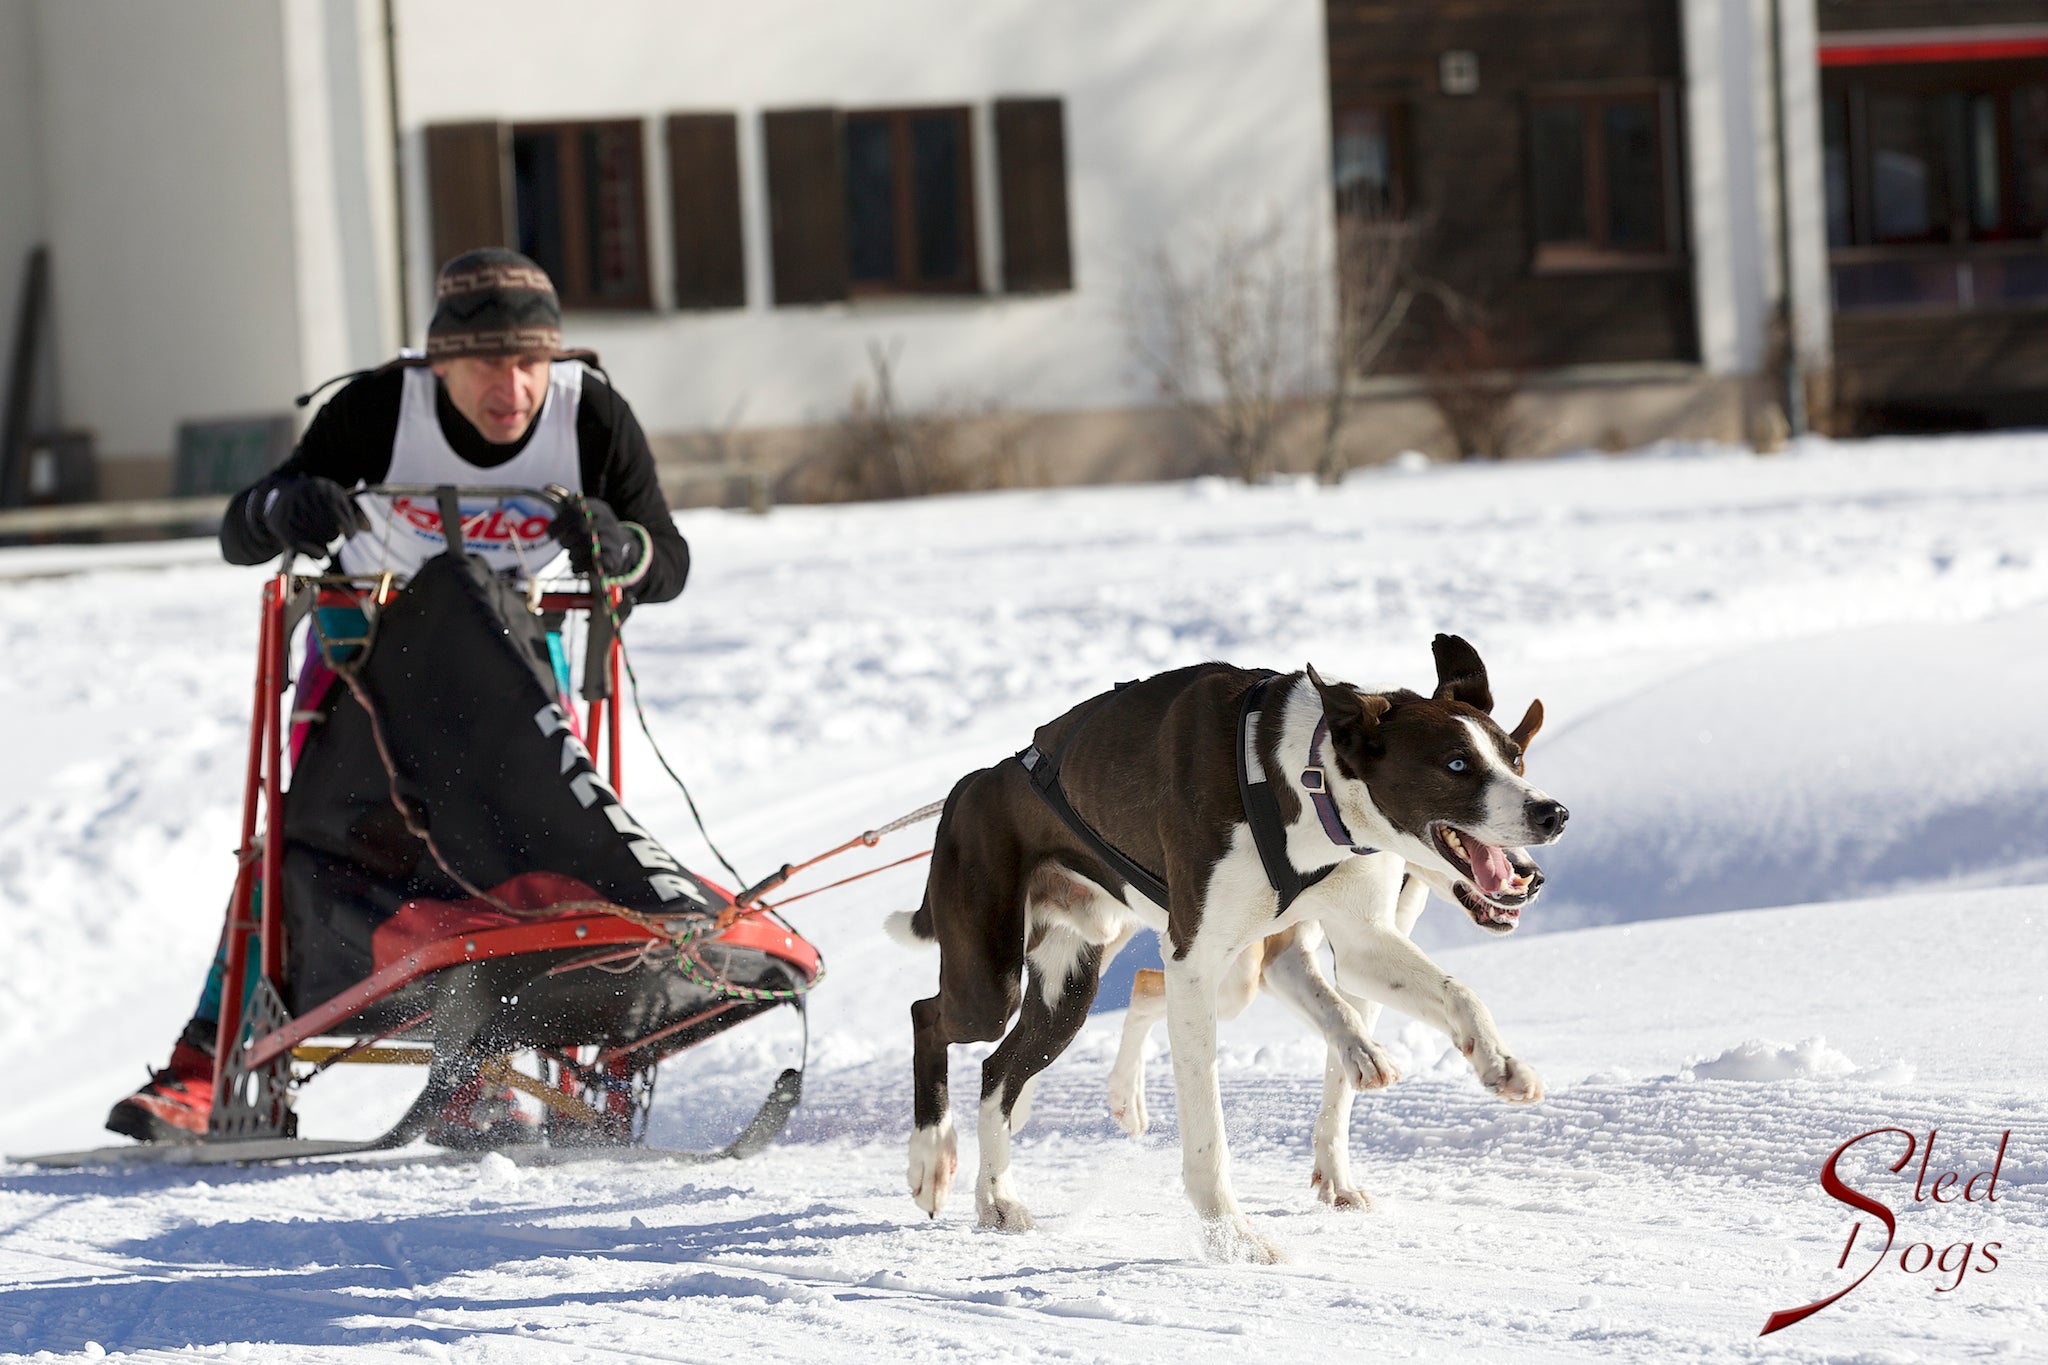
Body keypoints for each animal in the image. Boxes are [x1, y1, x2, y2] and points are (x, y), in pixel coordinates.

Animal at [884, 634, 1564, 1268]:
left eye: (1515, 757)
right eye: (1456, 764)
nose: (1552, 813)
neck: (1304, 781)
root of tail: (973, 784)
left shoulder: (1362, 942)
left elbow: (1457, 993)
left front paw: (1500, 1063)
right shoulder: (1195, 964)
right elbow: (1208, 1131)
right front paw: (1232, 1238)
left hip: (1067, 994)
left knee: (998, 1072)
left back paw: (996, 1197)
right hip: (991, 983)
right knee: (928, 1015)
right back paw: (931, 1157)